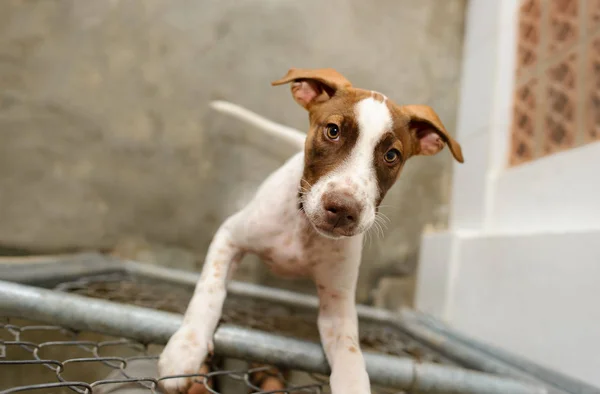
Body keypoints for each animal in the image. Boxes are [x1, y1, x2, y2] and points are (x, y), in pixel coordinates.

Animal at [157, 68, 462, 394]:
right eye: (333, 131)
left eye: (391, 155)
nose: (343, 209)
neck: (304, 227)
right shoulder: (228, 237)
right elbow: (209, 291)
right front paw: (185, 350)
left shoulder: (337, 306)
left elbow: (350, 352)